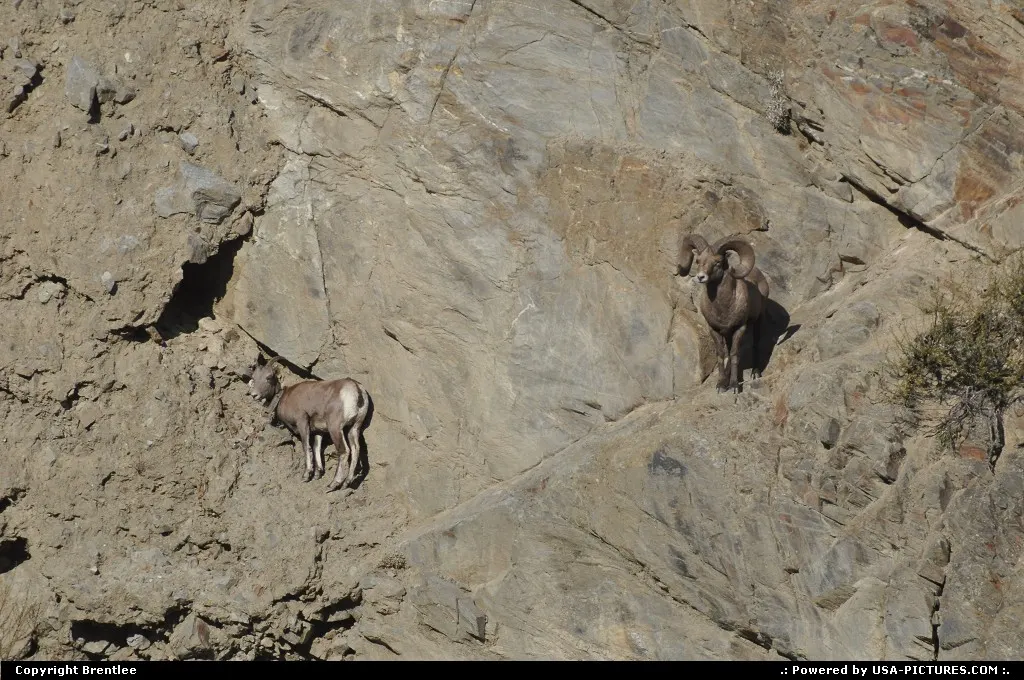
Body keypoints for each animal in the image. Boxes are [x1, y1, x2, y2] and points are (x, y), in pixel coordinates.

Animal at [248, 356, 371, 492]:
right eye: (254, 377)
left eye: (268, 377)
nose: (254, 395)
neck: (284, 397)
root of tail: (357, 389)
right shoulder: (318, 431)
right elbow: (316, 448)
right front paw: (317, 474)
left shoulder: (302, 422)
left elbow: (306, 446)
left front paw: (306, 475)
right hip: (354, 427)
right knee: (355, 450)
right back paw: (346, 484)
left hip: (335, 428)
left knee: (344, 451)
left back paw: (333, 484)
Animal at [677, 234, 770, 394]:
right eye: (698, 261)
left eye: (718, 262)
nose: (701, 277)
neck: (723, 308)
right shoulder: (715, 330)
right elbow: (721, 355)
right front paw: (721, 385)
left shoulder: (740, 328)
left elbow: (734, 355)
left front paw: (734, 386)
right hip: (727, 334)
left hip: (758, 321)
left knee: (755, 344)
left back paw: (755, 373)